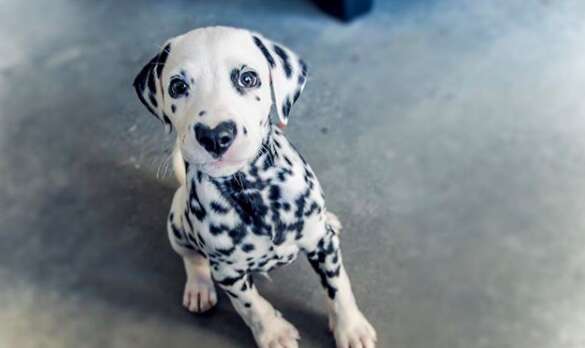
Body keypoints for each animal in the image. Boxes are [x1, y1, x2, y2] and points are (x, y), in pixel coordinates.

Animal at [132, 25, 376, 346]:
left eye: (248, 78)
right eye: (177, 87)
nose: (215, 136)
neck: (253, 192)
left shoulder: (323, 245)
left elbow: (338, 288)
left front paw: (351, 328)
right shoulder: (227, 272)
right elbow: (251, 305)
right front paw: (273, 333)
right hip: (176, 223)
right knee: (192, 258)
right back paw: (199, 287)